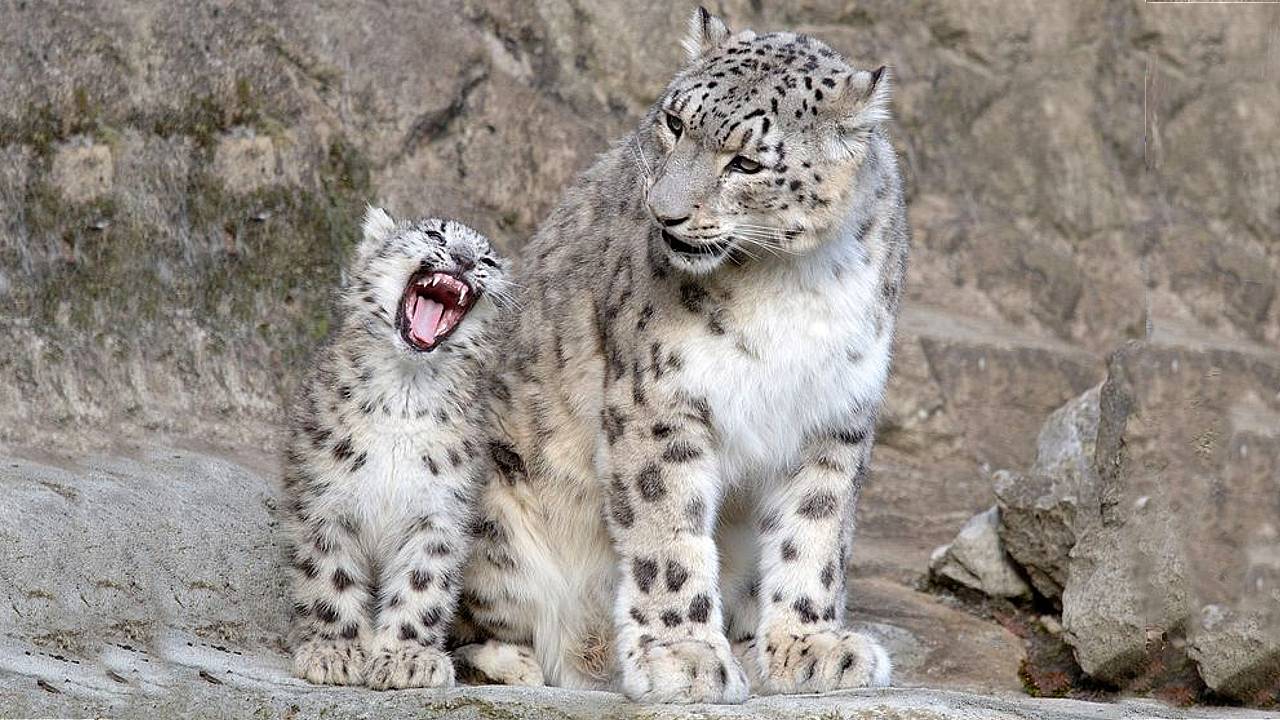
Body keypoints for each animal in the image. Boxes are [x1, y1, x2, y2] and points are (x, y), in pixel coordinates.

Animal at [455, 5, 906, 702]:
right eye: (674, 122)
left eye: (746, 163)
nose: (664, 214)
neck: (792, 282)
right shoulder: (660, 400)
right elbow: (668, 532)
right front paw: (685, 657)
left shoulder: (835, 414)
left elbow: (815, 530)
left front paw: (811, 647)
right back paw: (519, 664)